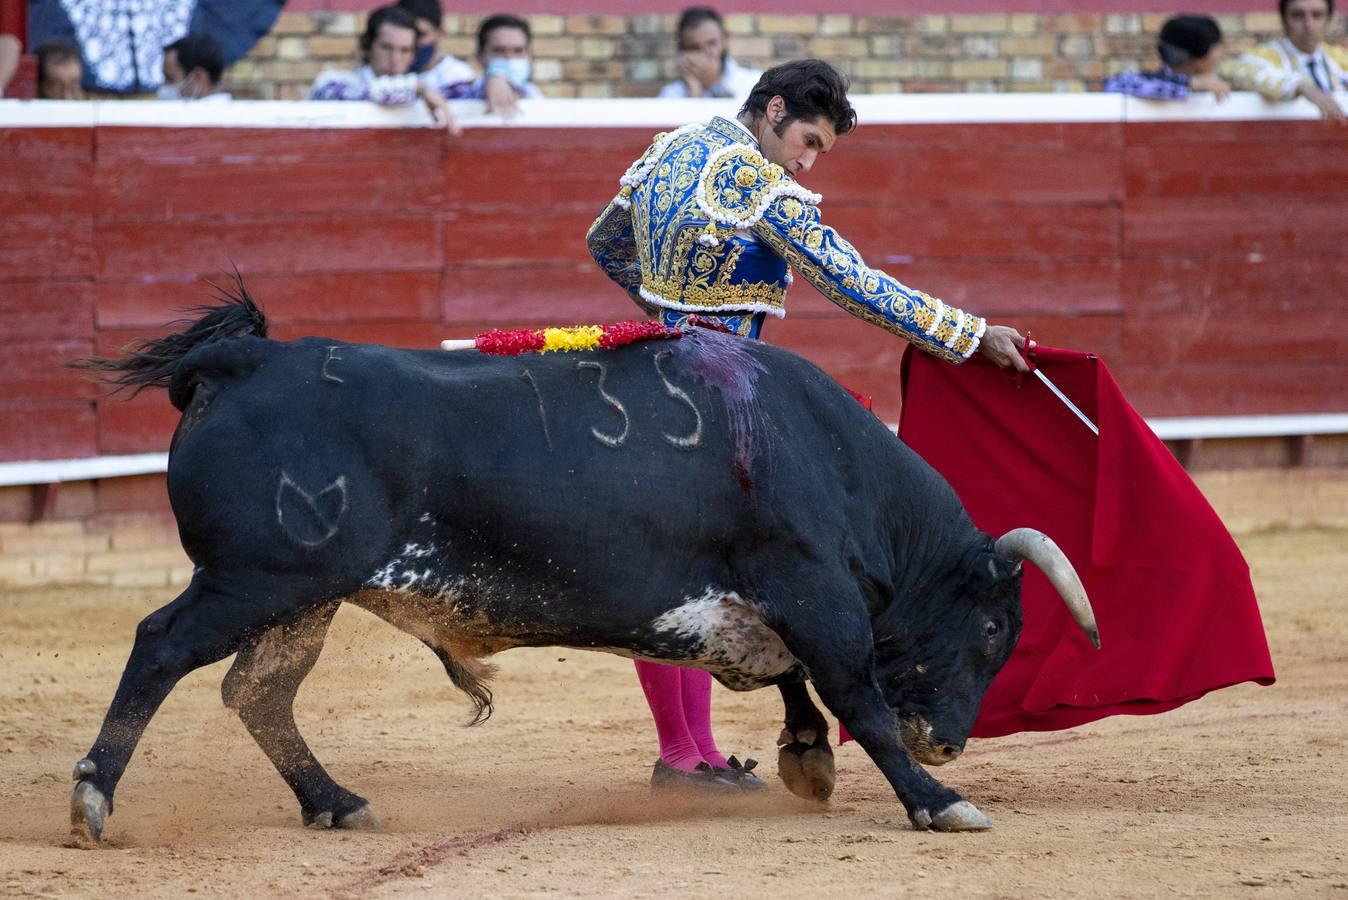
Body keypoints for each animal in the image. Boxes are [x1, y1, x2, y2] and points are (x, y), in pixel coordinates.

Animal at [68, 288, 1094, 846]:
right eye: (995, 628)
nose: (949, 743)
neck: (828, 455)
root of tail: (243, 361)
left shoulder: (768, 604)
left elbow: (798, 680)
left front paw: (807, 758)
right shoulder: (814, 590)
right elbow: (859, 697)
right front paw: (939, 802)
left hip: (301, 597)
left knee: (260, 692)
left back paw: (338, 804)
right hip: (253, 580)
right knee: (161, 647)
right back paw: (91, 801)